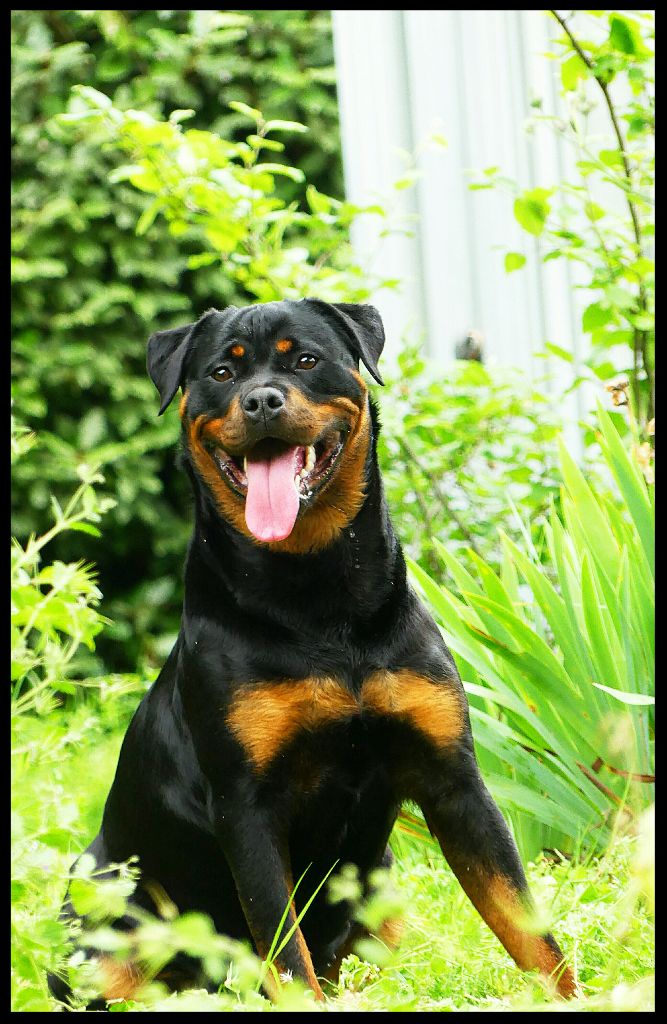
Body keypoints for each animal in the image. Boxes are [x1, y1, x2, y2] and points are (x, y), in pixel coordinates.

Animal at [50, 299, 575, 1005]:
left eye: (305, 359)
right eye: (221, 372)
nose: (262, 400)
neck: (319, 596)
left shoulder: (455, 780)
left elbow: (526, 924)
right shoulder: (246, 807)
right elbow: (286, 953)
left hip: (385, 894)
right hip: (101, 920)